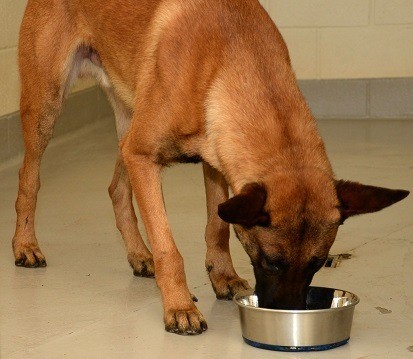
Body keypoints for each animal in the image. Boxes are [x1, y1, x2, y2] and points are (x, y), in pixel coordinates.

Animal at [14, 0, 408, 338]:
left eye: (318, 263)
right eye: (272, 262)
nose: (288, 315)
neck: (235, 56)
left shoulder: (215, 163)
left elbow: (217, 227)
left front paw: (223, 275)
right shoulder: (144, 156)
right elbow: (168, 247)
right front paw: (179, 307)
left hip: (129, 124)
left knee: (116, 189)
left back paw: (138, 254)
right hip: (48, 106)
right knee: (29, 180)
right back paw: (25, 245)